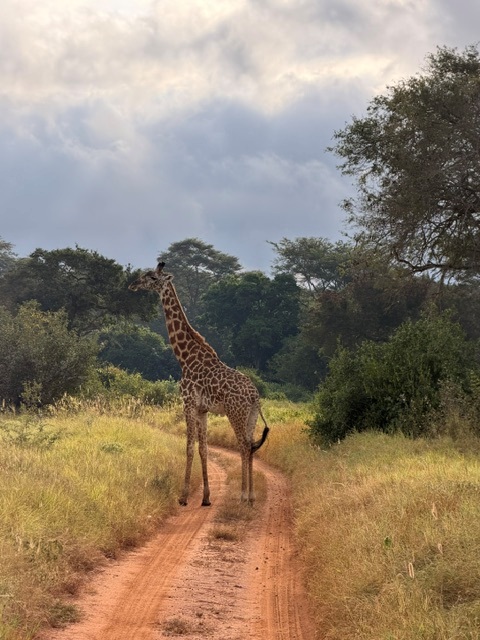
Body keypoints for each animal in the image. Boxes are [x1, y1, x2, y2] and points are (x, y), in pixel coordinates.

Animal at [128, 262, 269, 506]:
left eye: (152, 277)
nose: (133, 284)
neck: (185, 357)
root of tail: (254, 396)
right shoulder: (203, 409)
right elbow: (203, 449)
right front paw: (206, 497)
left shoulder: (188, 403)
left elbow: (189, 448)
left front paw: (183, 497)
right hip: (250, 416)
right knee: (251, 446)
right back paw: (251, 497)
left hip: (235, 412)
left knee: (243, 446)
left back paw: (243, 496)